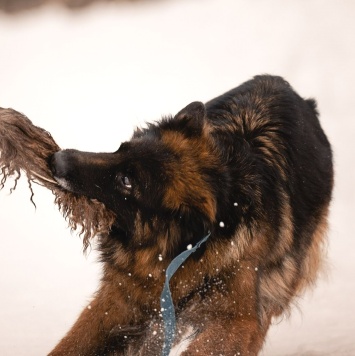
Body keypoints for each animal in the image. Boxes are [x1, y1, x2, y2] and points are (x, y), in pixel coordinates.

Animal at [47, 74, 334, 354]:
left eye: (126, 181)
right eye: (121, 148)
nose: (56, 160)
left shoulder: (237, 321)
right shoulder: (121, 299)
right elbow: (72, 344)